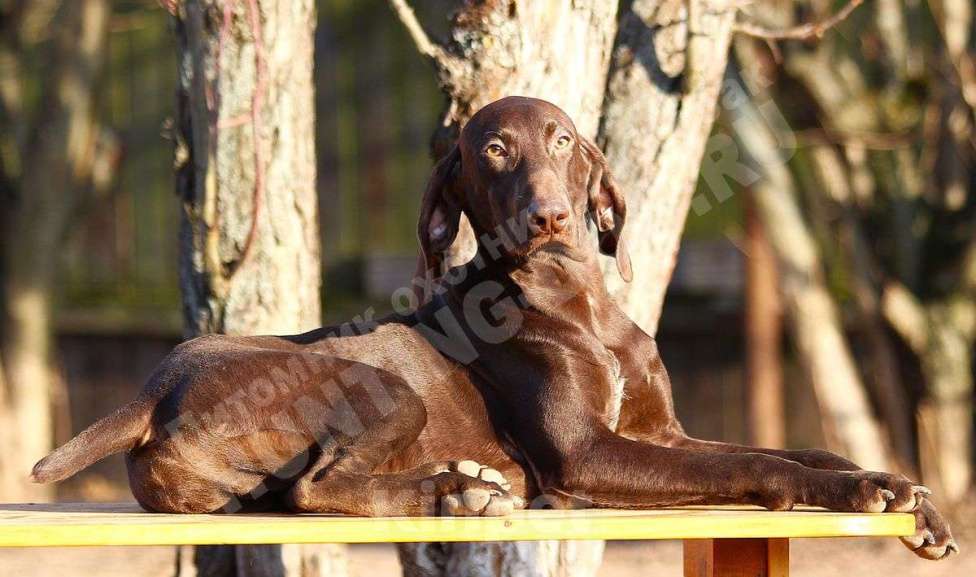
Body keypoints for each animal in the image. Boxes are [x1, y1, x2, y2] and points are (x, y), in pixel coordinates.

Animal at [32, 95, 960, 560]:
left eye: (562, 139)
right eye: (494, 149)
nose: (550, 215)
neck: (581, 302)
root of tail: (151, 390)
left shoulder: (663, 431)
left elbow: (798, 446)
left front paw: (903, 491)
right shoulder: (586, 455)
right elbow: (760, 465)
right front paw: (856, 493)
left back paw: (462, 480)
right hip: (384, 385)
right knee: (313, 487)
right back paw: (456, 490)